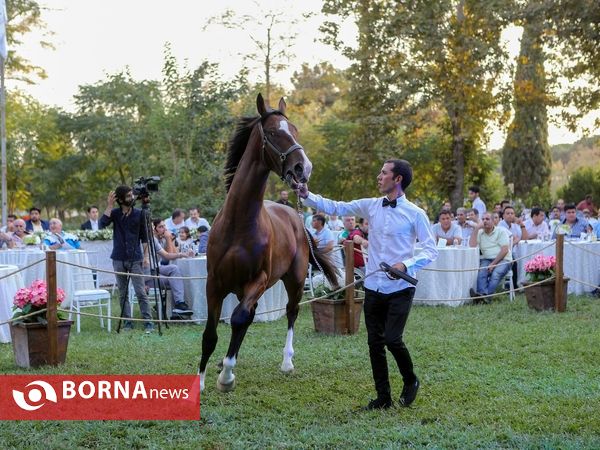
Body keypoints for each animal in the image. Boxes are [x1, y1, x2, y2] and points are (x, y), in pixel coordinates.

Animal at [197, 94, 338, 390]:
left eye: (294, 130)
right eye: (273, 132)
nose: (303, 168)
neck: (239, 224)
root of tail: (295, 216)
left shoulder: (258, 280)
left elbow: (238, 318)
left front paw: (226, 377)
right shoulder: (214, 283)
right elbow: (210, 334)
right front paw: (201, 380)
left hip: (294, 279)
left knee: (290, 312)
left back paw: (286, 362)